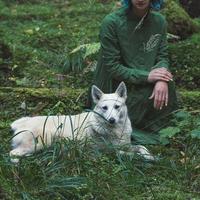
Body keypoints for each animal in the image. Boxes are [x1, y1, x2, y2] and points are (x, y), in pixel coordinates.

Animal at [9, 81, 154, 162]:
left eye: (117, 107)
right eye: (105, 108)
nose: (112, 120)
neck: (116, 131)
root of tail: (20, 124)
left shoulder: (125, 145)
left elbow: (142, 147)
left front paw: (149, 155)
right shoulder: (111, 151)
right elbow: (130, 154)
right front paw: (145, 158)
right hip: (42, 142)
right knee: (12, 154)